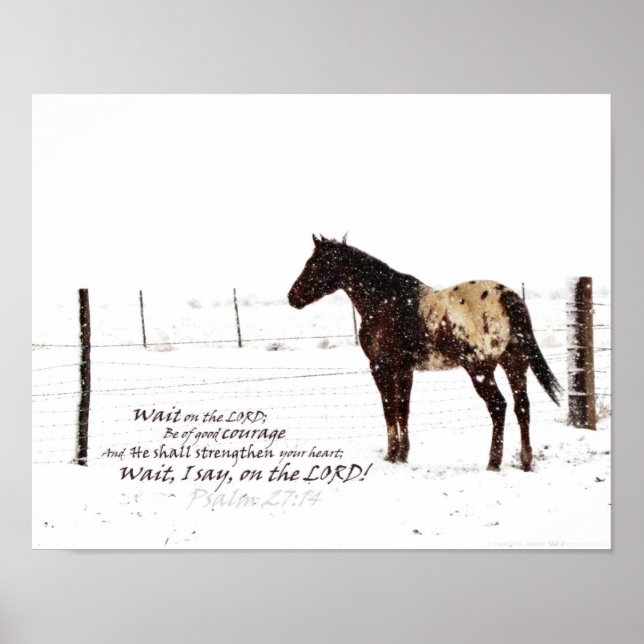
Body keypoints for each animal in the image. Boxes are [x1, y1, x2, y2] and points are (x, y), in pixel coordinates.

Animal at [287, 235, 563, 472]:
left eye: (313, 264)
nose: (292, 297)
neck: (385, 301)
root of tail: (507, 296)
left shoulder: (380, 367)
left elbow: (389, 409)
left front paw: (391, 455)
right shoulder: (404, 369)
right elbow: (403, 409)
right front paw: (403, 455)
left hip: (480, 370)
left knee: (499, 406)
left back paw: (493, 463)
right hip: (515, 364)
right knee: (522, 406)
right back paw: (526, 461)